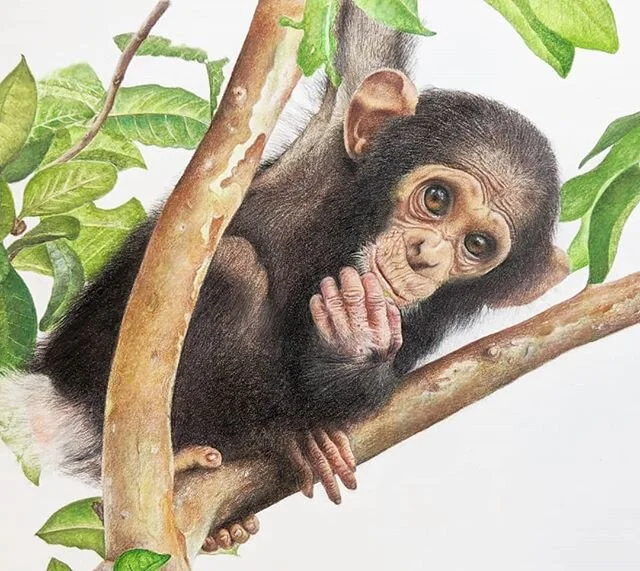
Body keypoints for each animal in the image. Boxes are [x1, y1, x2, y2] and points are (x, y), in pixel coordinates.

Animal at [2, 0, 568, 553]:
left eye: (476, 245)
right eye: (436, 199)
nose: (424, 254)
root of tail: (59, 391)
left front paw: (354, 346)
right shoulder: (336, 129)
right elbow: (367, 33)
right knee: (234, 266)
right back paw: (262, 438)